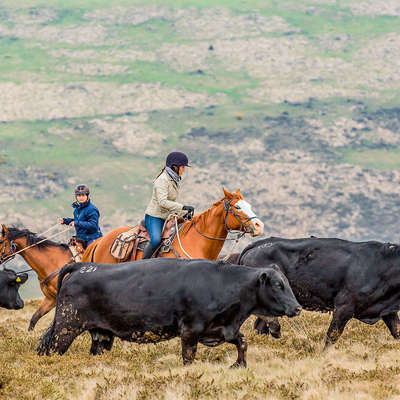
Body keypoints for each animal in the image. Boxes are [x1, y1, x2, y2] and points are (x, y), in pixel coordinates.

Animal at [37, 258, 302, 368]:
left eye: (287, 283)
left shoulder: (221, 328)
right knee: (49, 349)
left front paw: (239, 365)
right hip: (66, 328)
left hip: (100, 335)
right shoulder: (190, 331)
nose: (297, 307)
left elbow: (242, 342)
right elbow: (188, 357)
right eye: (278, 285)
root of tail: (83, 266)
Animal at [239, 239, 400, 348]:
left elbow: (396, 331)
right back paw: (275, 329)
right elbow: (332, 336)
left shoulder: (387, 310)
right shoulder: (344, 306)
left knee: (260, 326)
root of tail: (258, 245)